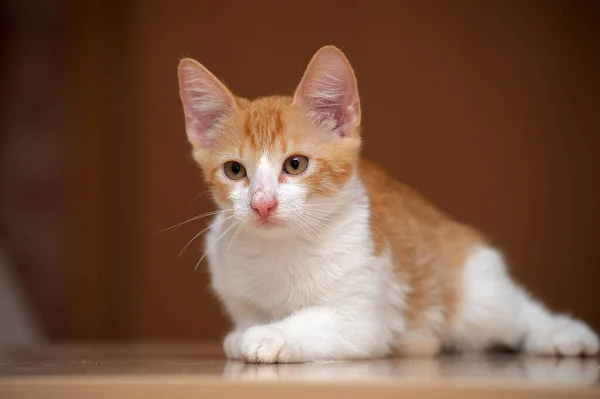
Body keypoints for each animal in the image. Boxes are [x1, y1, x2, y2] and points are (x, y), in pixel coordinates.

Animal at [176, 45, 596, 364]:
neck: (282, 249)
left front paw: (270, 336)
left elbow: (324, 322)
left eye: (295, 165)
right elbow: (245, 320)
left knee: (517, 312)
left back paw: (564, 334)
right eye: (234, 170)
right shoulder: (235, 290)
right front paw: (245, 333)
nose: (263, 204)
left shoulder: (365, 315)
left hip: (475, 293)